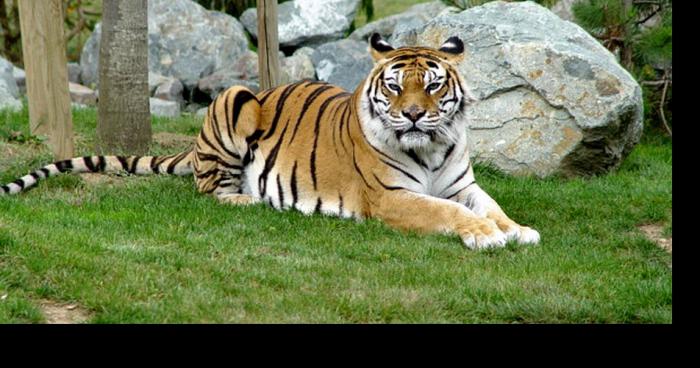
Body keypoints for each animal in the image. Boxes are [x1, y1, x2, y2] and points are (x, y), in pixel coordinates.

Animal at [1, 33, 540, 250]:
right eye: (393, 86)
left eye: (431, 86)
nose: (411, 115)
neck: (430, 146)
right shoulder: (391, 197)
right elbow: (446, 213)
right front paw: (487, 235)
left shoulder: (462, 185)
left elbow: (488, 206)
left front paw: (517, 229)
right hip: (233, 101)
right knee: (207, 190)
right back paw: (249, 199)